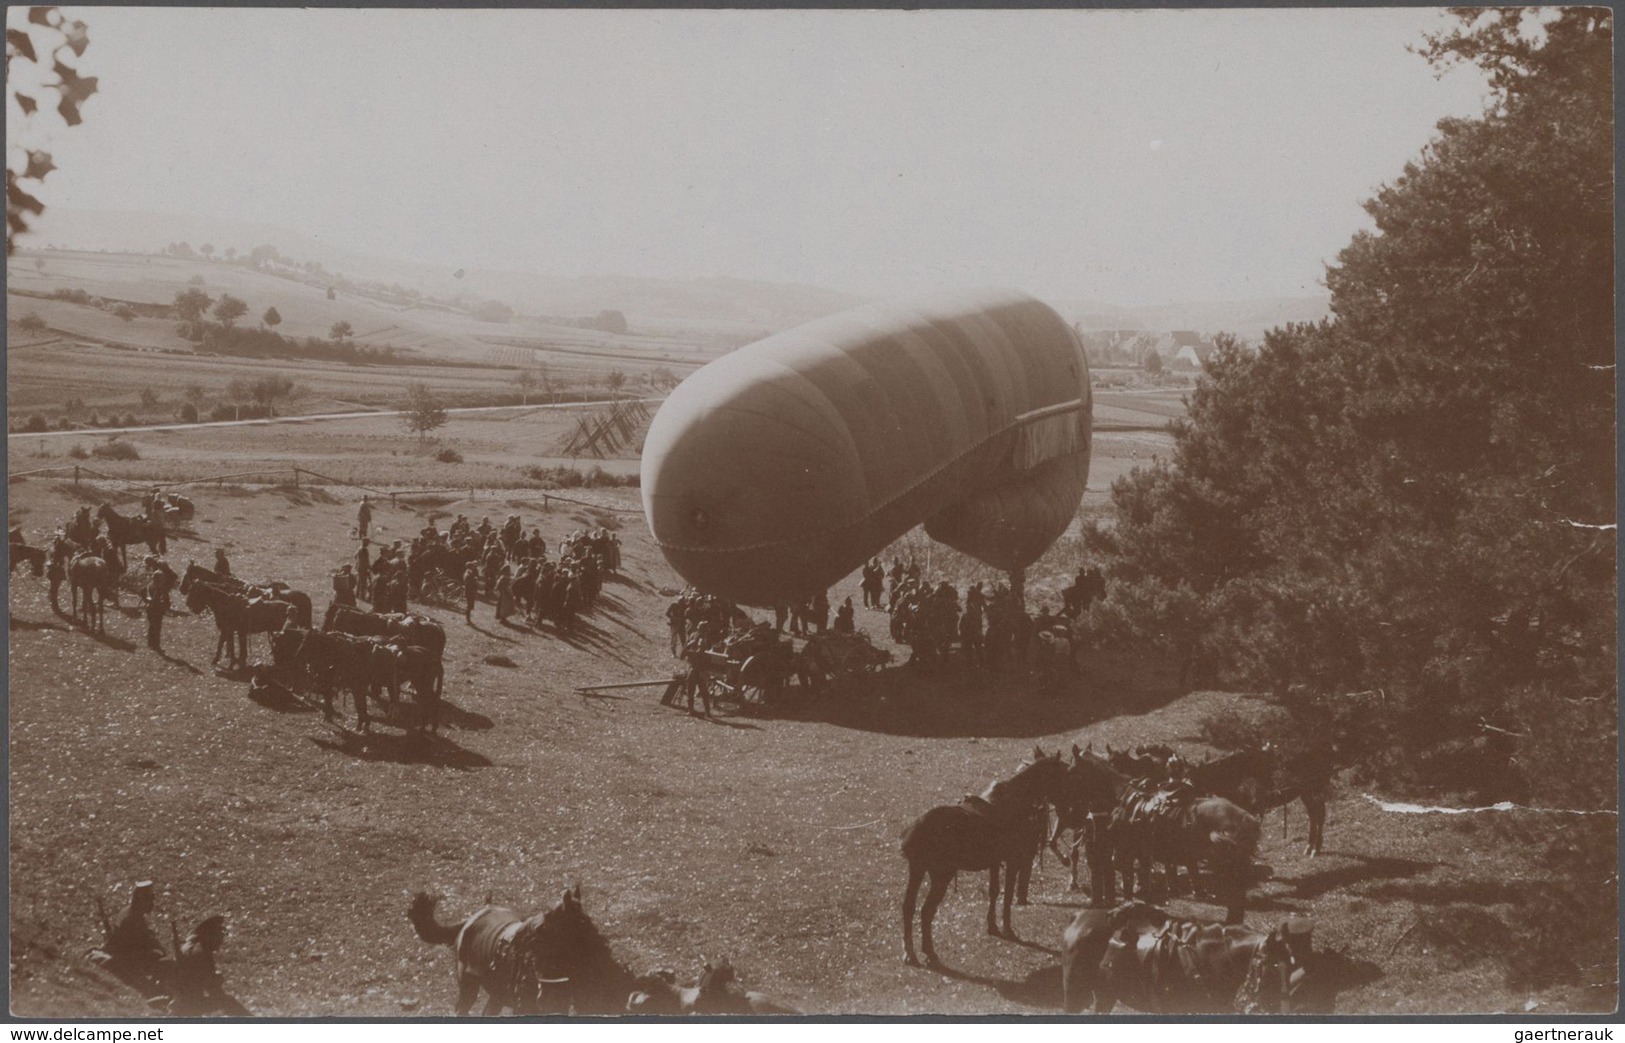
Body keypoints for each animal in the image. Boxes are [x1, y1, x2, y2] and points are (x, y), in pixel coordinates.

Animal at [406, 883, 646, 1013]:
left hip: (497, 995)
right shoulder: (525, 1006)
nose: (604, 953)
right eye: (581, 924)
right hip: (468, 988)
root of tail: (470, 919)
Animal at [1059, 896, 1313, 1013]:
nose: (1292, 1005)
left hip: (1105, 993)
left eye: (1294, 962)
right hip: (1073, 990)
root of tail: (1078, 917)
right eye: (1275, 967)